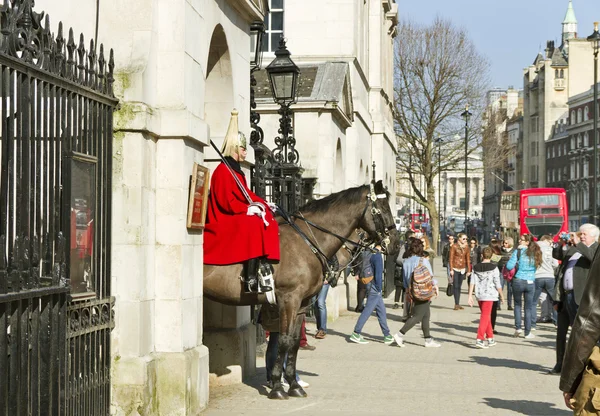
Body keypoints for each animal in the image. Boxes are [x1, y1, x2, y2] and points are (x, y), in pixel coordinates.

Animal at [202, 180, 398, 400]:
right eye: (383, 208)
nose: (397, 243)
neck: (306, 243)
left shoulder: (302, 303)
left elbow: (294, 342)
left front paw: (294, 384)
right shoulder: (289, 299)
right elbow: (285, 340)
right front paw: (278, 387)